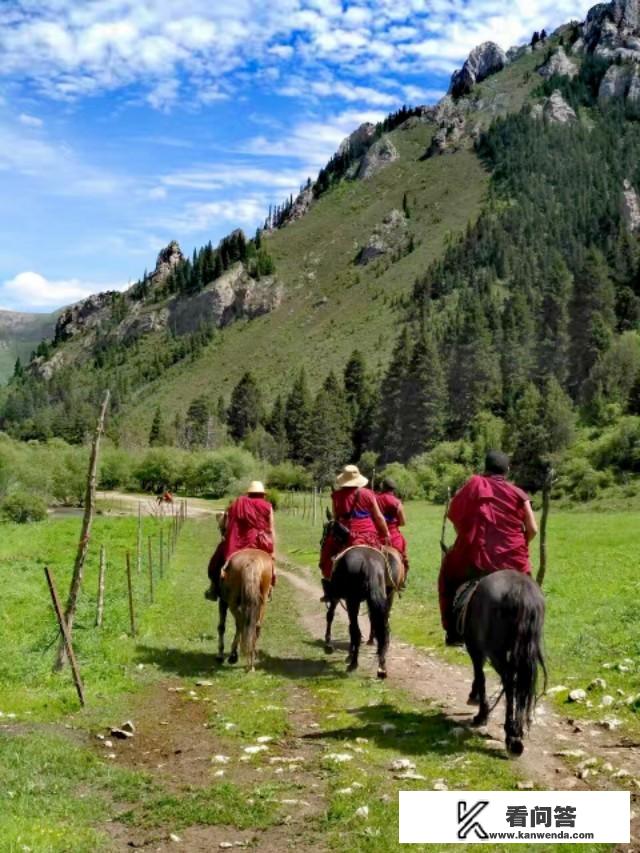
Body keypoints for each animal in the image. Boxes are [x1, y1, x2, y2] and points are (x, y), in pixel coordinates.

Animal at [208, 544, 272, 672]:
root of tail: (252, 561)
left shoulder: (223, 601)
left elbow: (222, 627)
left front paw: (221, 654)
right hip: (262, 603)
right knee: (255, 626)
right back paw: (251, 663)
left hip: (232, 602)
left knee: (241, 623)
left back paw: (235, 656)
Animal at [320, 520, 390, 680]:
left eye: (326, 533)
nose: (321, 543)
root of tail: (369, 563)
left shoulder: (339, 597)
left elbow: (331, 616)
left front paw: (329, 644)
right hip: (378, 600)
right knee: (382, 630)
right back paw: (381, 668)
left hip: (352, 601)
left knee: (355, 630)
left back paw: (354, 663)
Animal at [460, 568, 544, 756]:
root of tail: (519, 591)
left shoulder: (475, 649)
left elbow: (480, 676)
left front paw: (481, 714)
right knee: (521, 685)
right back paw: (517, 733)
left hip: (495, 653)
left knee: (510, 683)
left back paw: (512, 736)